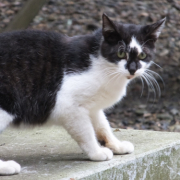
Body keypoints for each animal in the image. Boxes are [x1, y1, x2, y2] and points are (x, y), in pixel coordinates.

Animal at [0, 14, 166, 176]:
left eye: (142, 55)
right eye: (121, 53)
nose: (132, 69)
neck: (103, 66)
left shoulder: (92, 107)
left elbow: (102, 126)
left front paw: (116, 145)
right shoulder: (68, 105)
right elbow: (86, 132)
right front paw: (97, 152)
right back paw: (6, 167)